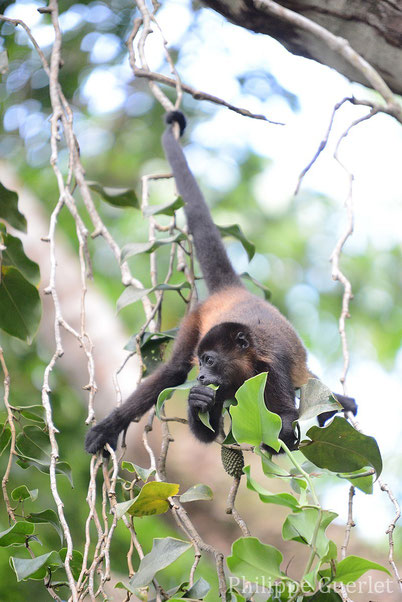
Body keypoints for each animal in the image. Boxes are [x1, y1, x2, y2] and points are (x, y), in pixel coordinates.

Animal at [85, 110, 358, 452]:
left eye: (210, 362)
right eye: (201, 363)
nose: (201, 377)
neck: (247, 365)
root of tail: (232, 290)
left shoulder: (274, 370)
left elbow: (282, 430)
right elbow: (206, 432)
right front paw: (198, 401)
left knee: (309, 382)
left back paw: (338, 403)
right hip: (195, 319)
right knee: (173, 370)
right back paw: (110, 425)